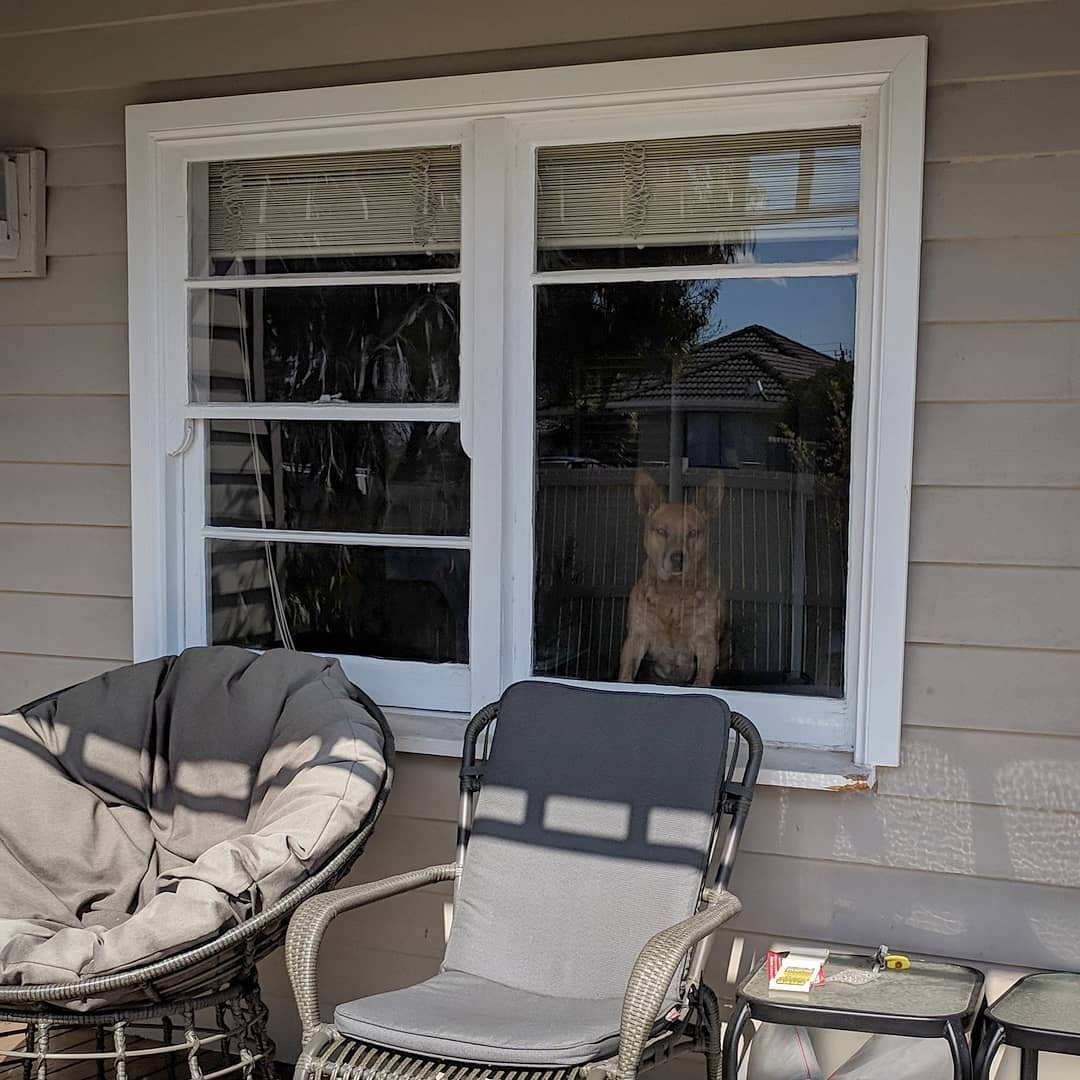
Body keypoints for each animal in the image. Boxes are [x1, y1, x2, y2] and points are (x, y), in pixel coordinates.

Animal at [617, 470, 725, 686]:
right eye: (662, 531)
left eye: (692, 533)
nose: (678, 558)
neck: (674, 591)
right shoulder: (637, 637)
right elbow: (626, 674)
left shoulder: (706, 642)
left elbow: (702, 681)